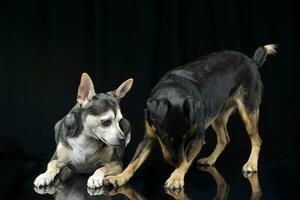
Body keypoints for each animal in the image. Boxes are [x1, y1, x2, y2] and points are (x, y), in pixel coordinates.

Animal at [104, 44, 278, 190]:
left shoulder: (197, 138)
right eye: (165, 139)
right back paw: (210, 159)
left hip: (248, 112)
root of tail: (251, 61)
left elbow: (187, 158)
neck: (174, 89)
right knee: (224, 138)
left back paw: (251, 164)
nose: (175, 162)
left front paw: (176, 177)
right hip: (217, 115)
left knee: (256, 139)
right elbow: (135, 161)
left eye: (185, 139)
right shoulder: (149, 137)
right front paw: (120, 177)